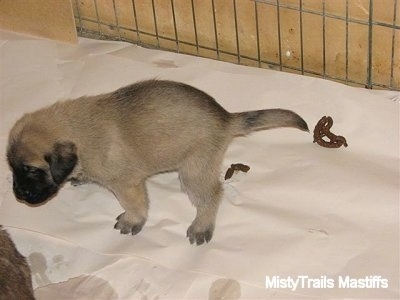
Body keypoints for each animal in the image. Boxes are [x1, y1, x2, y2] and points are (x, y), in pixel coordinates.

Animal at [7, 79, 310, 244]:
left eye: (31, 170)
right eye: (12, 169)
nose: (18, 195)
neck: (78, 132)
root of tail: (226, 118)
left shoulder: (127, 184)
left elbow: (135, 205)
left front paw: (132, 221)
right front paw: (78, 177)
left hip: (193, 169)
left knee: (212, 195)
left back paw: (202, 225)